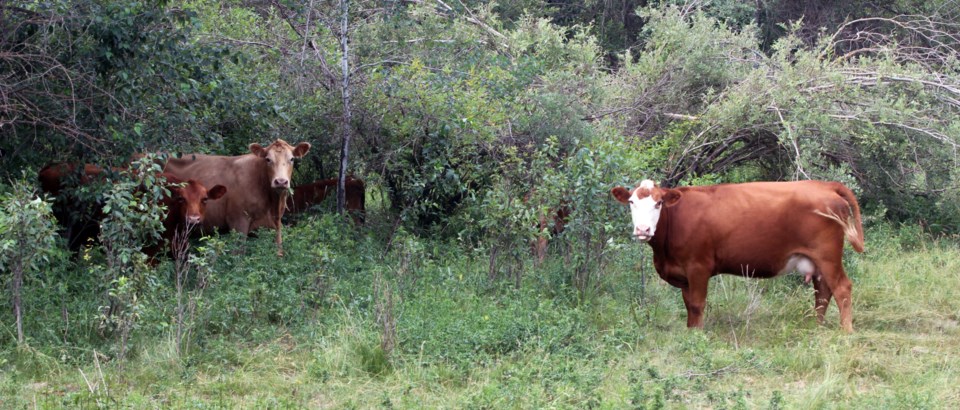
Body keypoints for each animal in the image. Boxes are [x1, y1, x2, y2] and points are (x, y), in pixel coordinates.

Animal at [612, 179, 868, 334]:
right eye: (632, 202)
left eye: (658, 203)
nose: (643, 229)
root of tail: (824, 185)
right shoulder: (684, 274)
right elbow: (688, 305)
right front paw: (690, 331)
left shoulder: (698, 266)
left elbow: (697, 304)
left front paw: (697, 336)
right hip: (818, 261)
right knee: (822, 292)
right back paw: (817, 328)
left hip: (828, 255)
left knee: (841, 289)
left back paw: (846, 332)